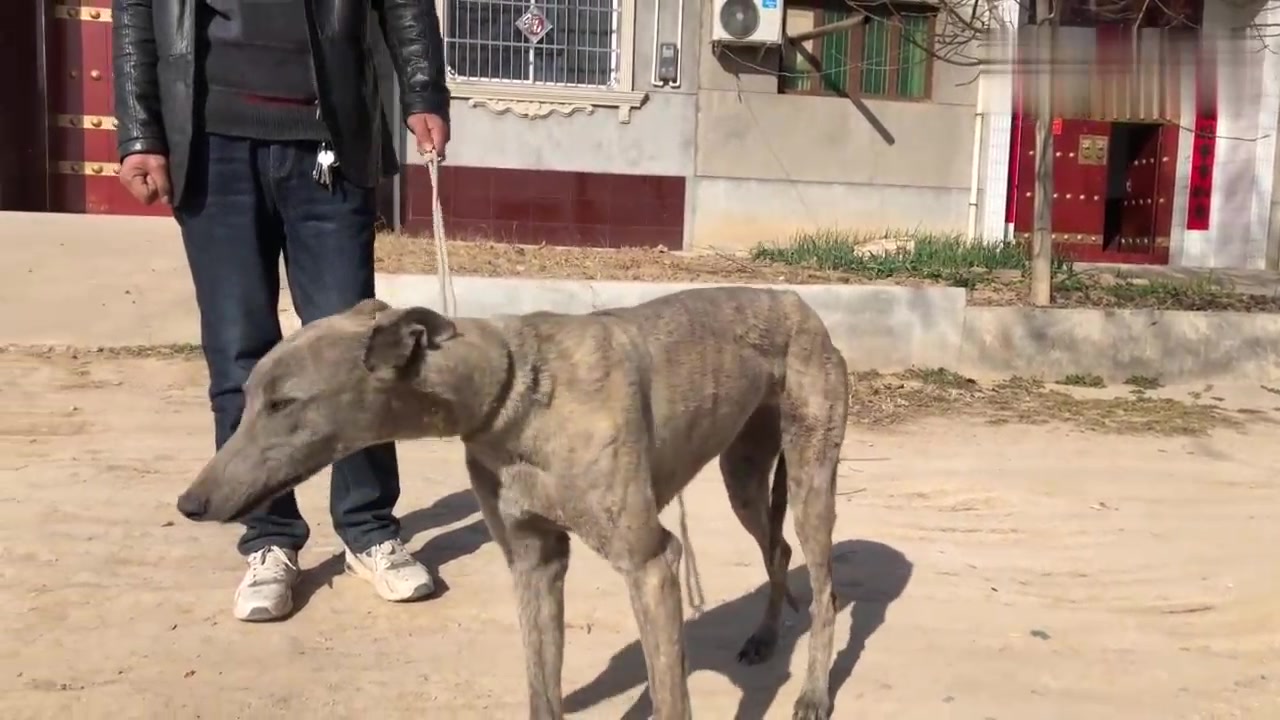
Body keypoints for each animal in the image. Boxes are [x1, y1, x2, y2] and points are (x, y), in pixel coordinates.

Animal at [172, 285, 849, 717]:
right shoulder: (534, 560)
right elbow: (541, 689)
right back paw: (764, 637)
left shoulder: (650, 563)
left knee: (824, 589)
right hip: (745, 475)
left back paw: (814, 693)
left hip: (811, 477)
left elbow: (669, 696)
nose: (189, 503)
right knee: (778, 549)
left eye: (283, 403)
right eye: (249, 397)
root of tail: (802, 305)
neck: (511, 388)